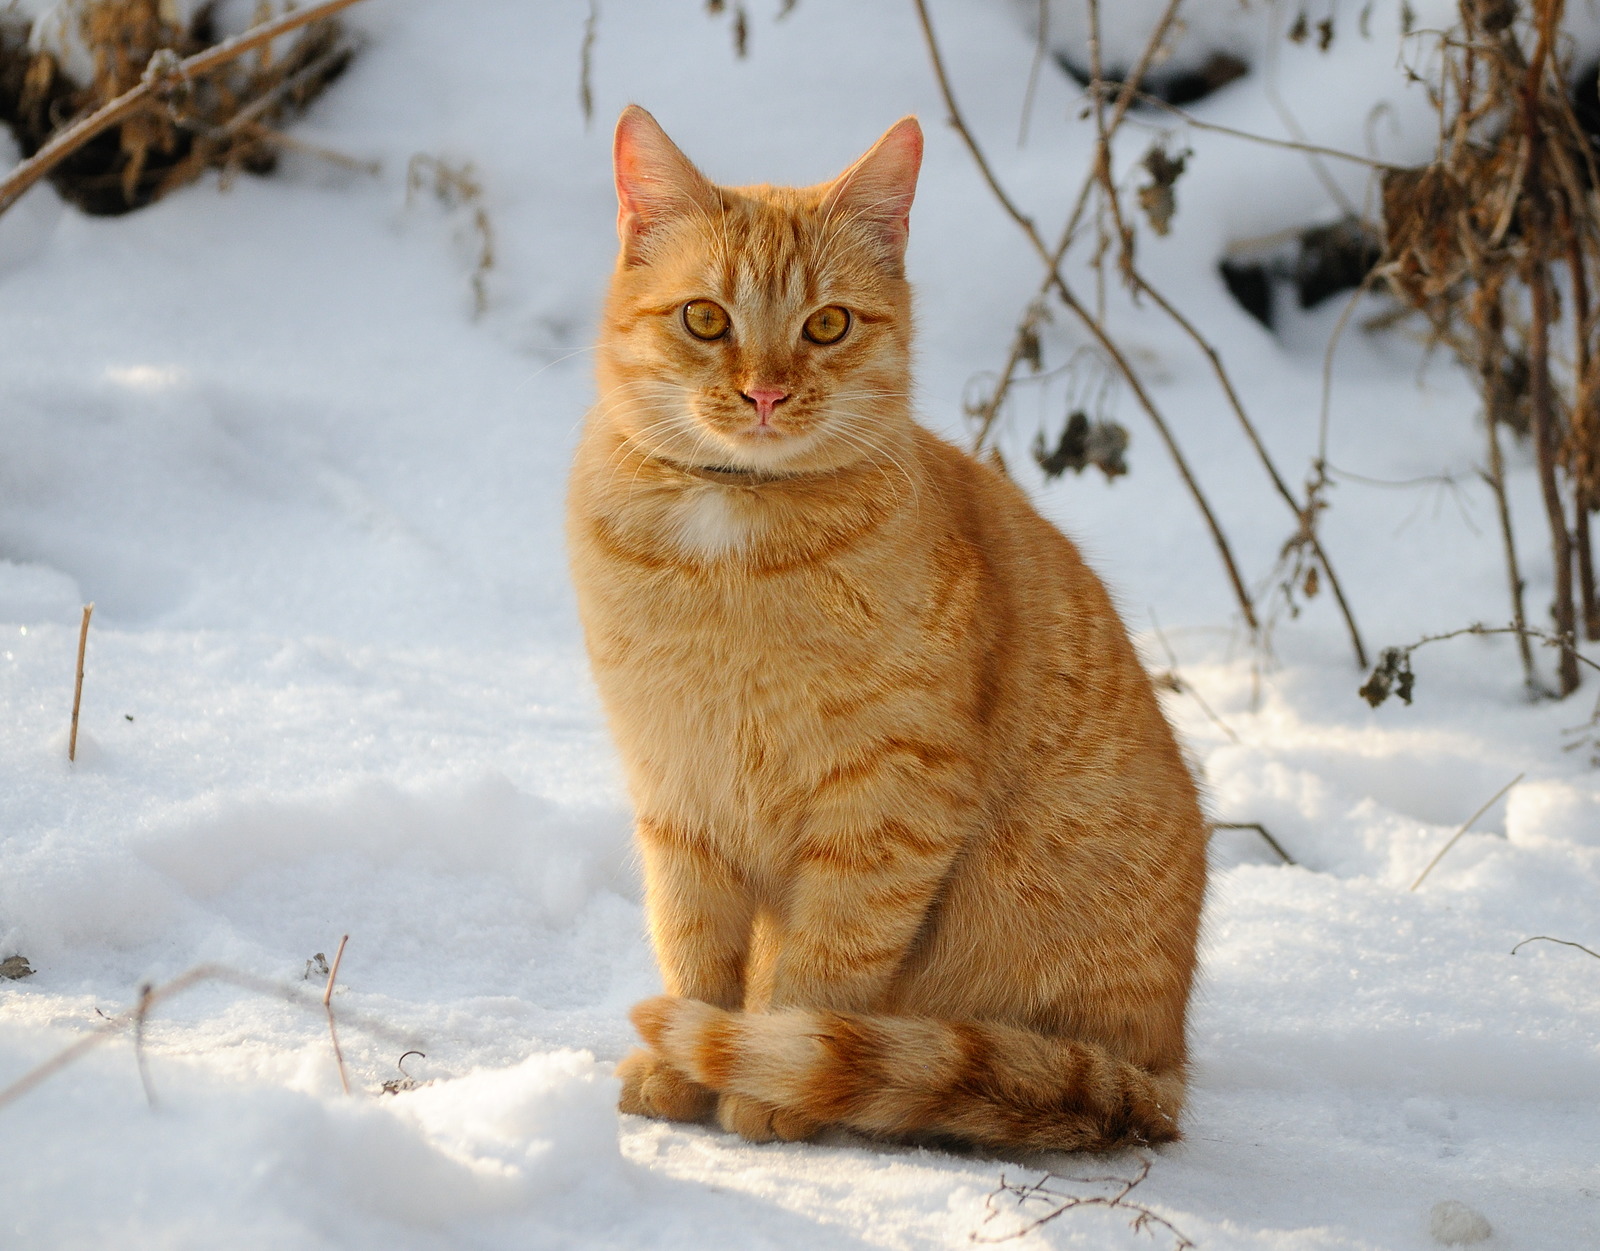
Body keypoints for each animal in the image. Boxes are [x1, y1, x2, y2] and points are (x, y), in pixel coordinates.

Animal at [569, 105, 1203, 1158]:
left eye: (826, 324)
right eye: (706, 318)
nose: (765, 393)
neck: (730, 540)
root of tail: (1163, 1073)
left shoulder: (891, 802)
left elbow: (821, 968)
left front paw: (763, 1084)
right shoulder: (679, 790)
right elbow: (694, 948)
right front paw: (680, 1070)